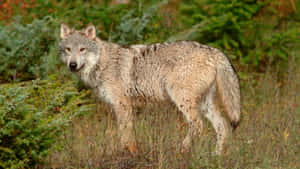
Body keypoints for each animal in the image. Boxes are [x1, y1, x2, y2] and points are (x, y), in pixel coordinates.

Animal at [58, 23, 241, 155]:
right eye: (68, 49)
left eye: (82, 49)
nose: (72, 65)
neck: (101, 63)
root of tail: (214, 50)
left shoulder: (122, 104)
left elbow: (124, 133)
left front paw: (123, 152)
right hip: (204, 104)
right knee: (222, 126)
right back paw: (216, 155)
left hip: (183, 100)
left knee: (198, 125)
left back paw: (183, 148)